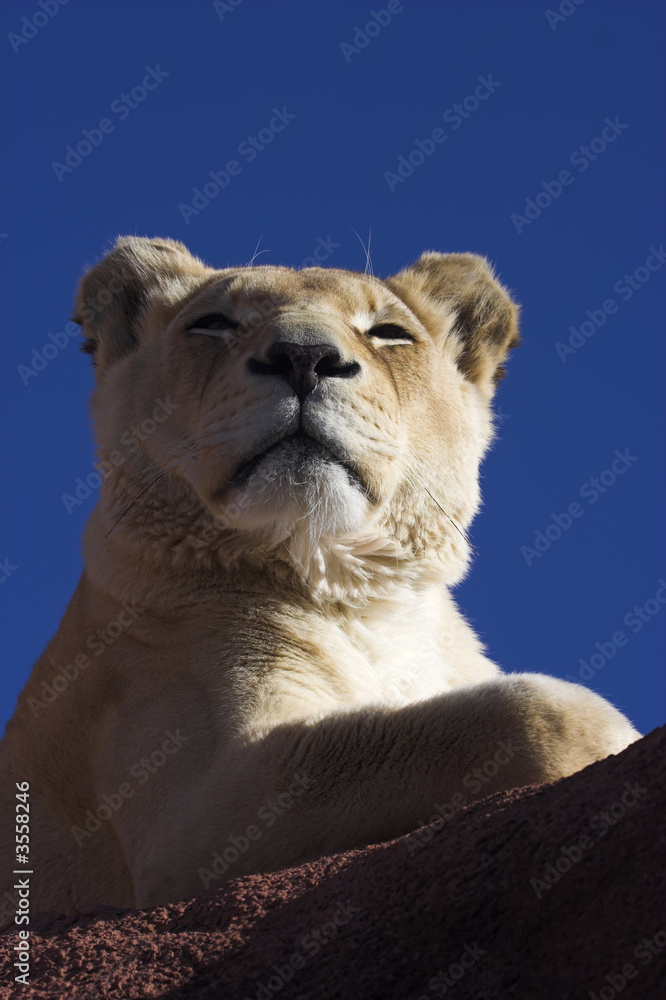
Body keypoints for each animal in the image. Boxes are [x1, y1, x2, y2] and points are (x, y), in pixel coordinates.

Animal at [0, 237, 639, 920]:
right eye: (213, 323)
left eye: (389, 333)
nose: (304, 358)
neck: (366, 594)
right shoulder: (194, 815)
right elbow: (519, 717)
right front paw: (612, 733)